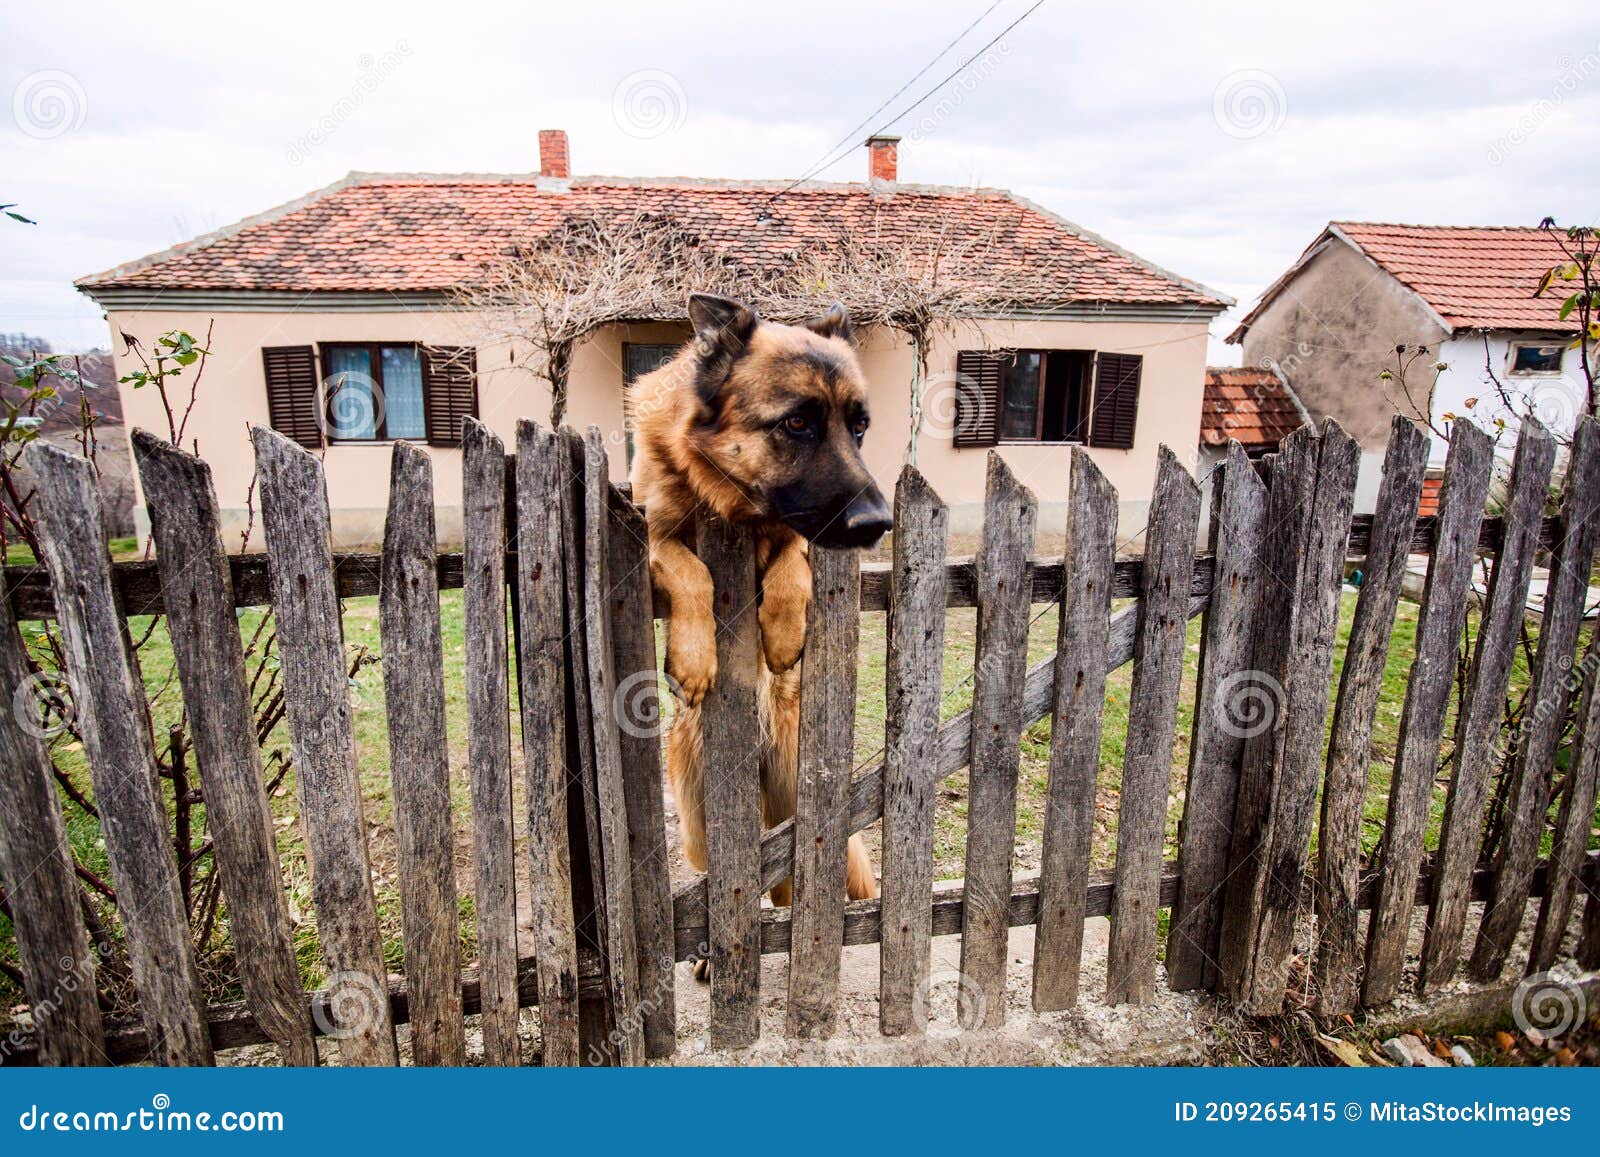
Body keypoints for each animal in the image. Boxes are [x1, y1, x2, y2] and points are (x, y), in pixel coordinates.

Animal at [630, 294, 896, 972]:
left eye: (860, 426)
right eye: (796, 424)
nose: (878, 524)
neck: (739, 509)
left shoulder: (803, 536)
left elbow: (793, 561)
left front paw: (780, 630)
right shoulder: (646, 531)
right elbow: (689, 568)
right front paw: (694, 657)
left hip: (820, 827)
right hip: (702, 830)